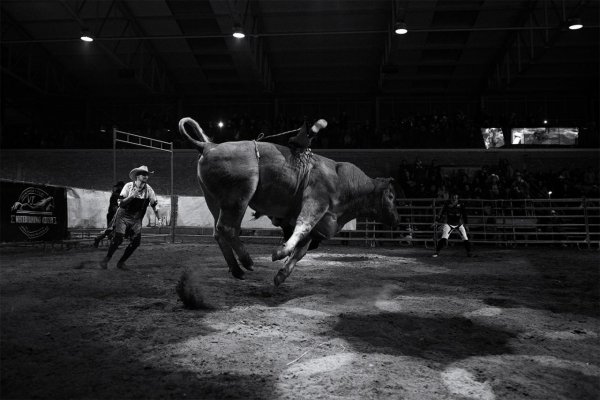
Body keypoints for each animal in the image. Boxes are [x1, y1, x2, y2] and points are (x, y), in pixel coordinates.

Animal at [180, 117, 400, 286]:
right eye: (391, 196)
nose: (397, 220)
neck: (347, 183)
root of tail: (209, 146)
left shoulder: (317, 228)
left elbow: (300, 252)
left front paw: (281, 275)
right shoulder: (316, 202)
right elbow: (302, 227)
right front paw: (280, 252)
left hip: (214, 200)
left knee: (219, 232)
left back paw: (237, 269)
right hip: (238, 197)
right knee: (228, 228)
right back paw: (247, 261)